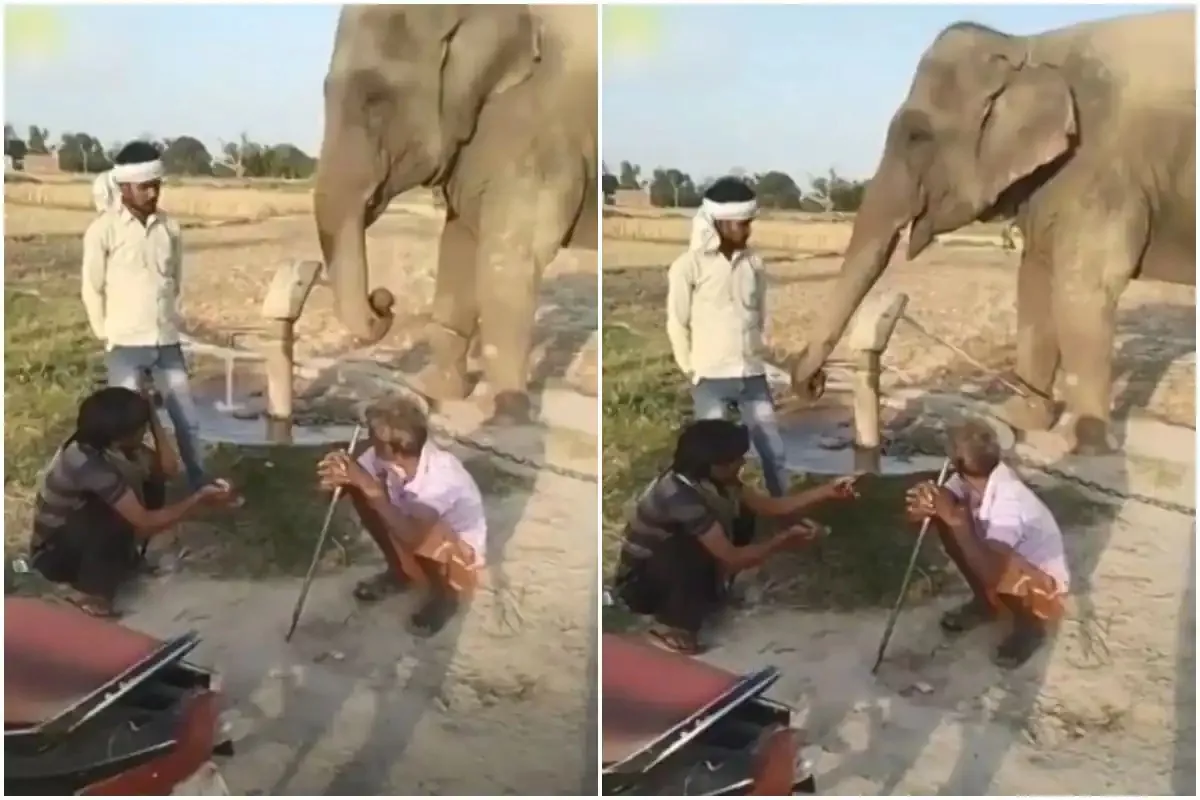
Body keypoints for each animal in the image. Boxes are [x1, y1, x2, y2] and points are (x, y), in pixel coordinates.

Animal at [314, 4, 600, 424]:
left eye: (376, 100)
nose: (384, 300)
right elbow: (459, 242)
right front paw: (435, 391)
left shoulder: (538, 129)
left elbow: (509, 258)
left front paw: (505, 416)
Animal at [792, 9, 1195, 453]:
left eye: (917, 136)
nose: (814, 383)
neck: (1026, 46)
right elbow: (1035, 280)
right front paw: (1018, 418)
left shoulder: (1100, 170)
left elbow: (1081, 291)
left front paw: (1083, 445)